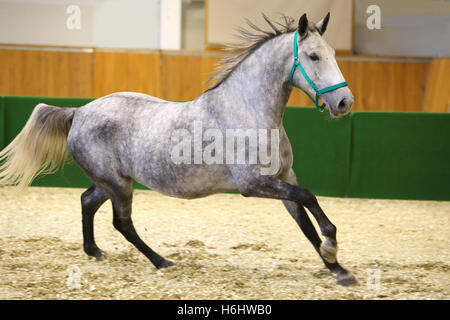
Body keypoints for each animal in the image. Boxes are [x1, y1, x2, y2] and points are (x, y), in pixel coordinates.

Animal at [0, 13, 358, 286]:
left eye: (334, 53)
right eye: (313, 56)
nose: (345, 102)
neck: (248, 110)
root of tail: (79, 112)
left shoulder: (284, 177)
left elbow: (305, 221)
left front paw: (338, 269)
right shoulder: (254, 184)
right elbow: (310, 200)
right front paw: (331, 249)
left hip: (111, 181)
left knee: (87, 201)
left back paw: (95, 251)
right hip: (118, 185)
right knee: (122, 223)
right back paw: (161, 261)